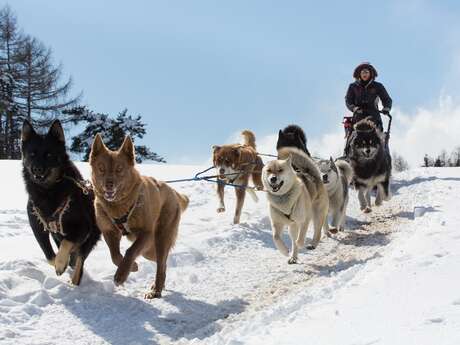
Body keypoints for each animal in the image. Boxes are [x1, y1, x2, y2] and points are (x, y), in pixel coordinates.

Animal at [21, 119, 100, 284]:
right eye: (32, 154)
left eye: (49, 154)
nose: (37, 169)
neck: (48, 191)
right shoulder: (37, 226)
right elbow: (49, 255)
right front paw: (59, 264)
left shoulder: (83, 226)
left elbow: (67, 243)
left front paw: (61, 263)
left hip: (90, 236)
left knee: (79, 261)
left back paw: (74, 280)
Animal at [88, 133, 189, 296]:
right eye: (101, 168)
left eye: (119, 169)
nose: (109, 184)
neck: (119, 206)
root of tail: (172, 191)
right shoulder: (109, 232)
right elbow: (114, 255)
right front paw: (132, 266)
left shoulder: (146, 233)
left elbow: (130, 251)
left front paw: (122, 274)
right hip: (149, 250)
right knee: (163, 263)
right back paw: (158, 286)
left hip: (160, 238)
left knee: (161, 263)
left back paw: (156, 291)